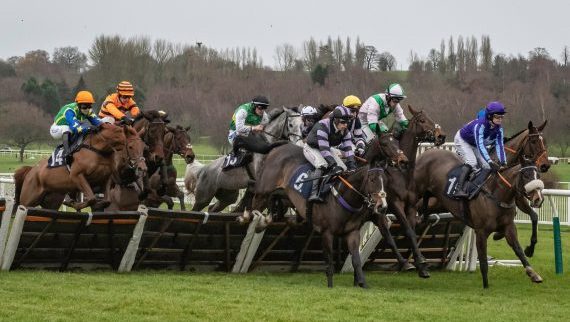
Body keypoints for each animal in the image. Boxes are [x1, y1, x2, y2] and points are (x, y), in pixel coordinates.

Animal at [412, 150, 540, 288]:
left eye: (538, 174)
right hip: (418, 191)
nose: (538, 198)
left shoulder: (509, 226)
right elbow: (483, 259)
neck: (497, 195)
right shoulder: (481, 231)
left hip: (435, 200)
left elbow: (518, 249)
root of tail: (427, 153)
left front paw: (533, 273)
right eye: (526, 175)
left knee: (423, 209)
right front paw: (486, 285)